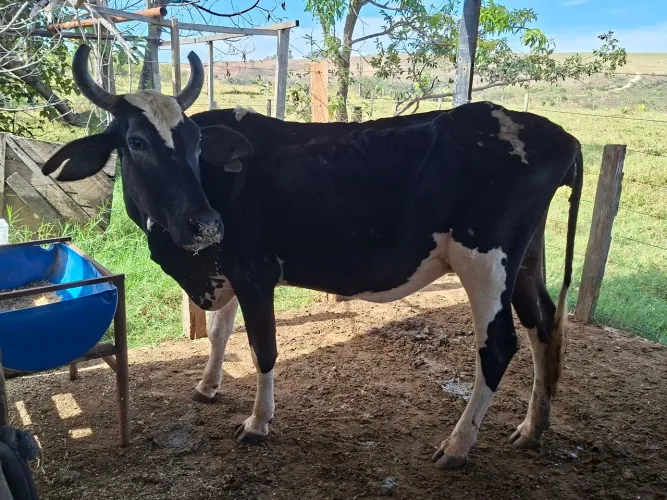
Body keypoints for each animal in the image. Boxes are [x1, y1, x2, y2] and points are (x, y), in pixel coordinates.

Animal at [43, 44, 583, 470]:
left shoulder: (255, 272)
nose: (207, 223)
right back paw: (533, 428)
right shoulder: (227, 270)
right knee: (543, 325)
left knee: (499, 346)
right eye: (135, 141)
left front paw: (257, 423)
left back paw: (457, 446)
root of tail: (559, 134)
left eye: (195, 143)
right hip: (524, 261)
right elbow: (219, 332)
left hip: (485, 262)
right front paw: (208, 386)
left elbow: (262, 347)